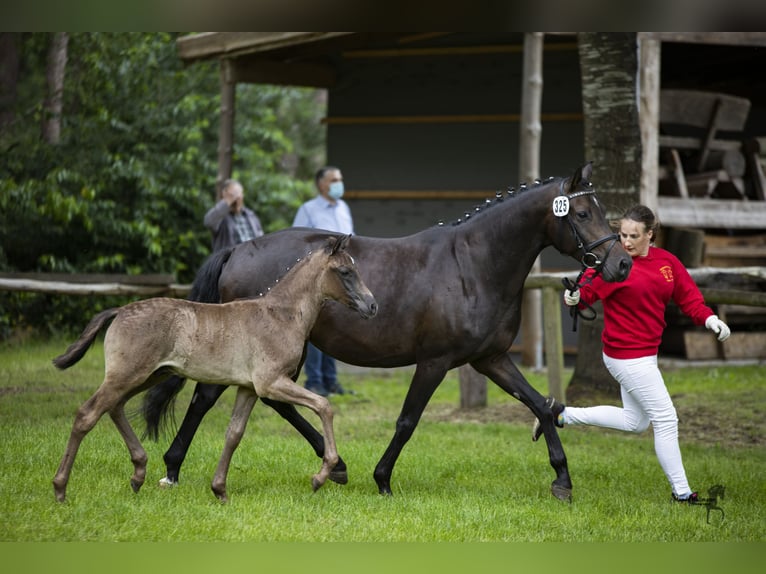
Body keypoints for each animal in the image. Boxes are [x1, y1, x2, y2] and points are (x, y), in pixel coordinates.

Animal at [51, 235, 378, 504]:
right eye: (345, 272)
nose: (372, 306)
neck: (281, 314)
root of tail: (119, 311)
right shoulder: (271, 382)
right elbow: (324, 406)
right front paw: (322, 475)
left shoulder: (248, 388)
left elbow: (234, 433)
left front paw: (220, 490)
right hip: (127, 374)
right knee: (88, 413)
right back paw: (60, 488)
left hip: (150, 375)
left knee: (115, 407)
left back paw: (138, 474)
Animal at [141, 164, 632, 502]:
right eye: (582, 212)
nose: (622, 263)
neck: (472, 265)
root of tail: (238, 249)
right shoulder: (435, 361)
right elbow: (407, 421)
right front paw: (382, 479)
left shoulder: (490, 359)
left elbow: (542, 406)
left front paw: (562, 480)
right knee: (211, 397)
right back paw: (172, 469)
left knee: (265, 400)